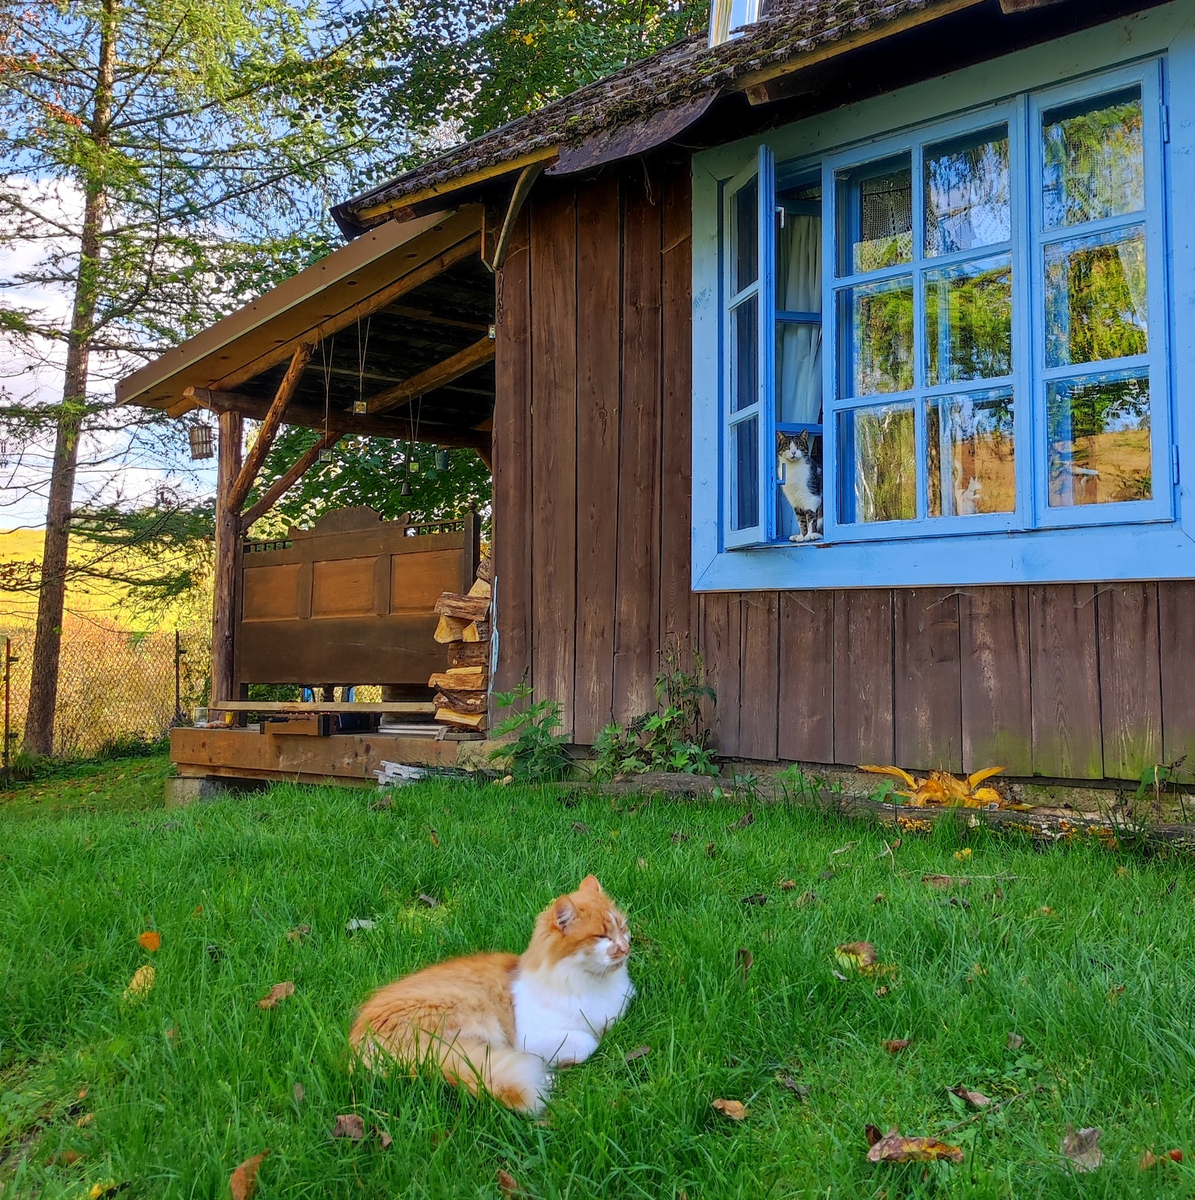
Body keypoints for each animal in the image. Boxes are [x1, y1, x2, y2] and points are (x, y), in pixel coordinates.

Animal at [347, 873, 633, 1113]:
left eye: (622, 928)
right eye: (601, 936)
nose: (625, 948)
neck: (593, 984)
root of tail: (359, 1045)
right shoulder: (531, 1038)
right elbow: (588, 1041)